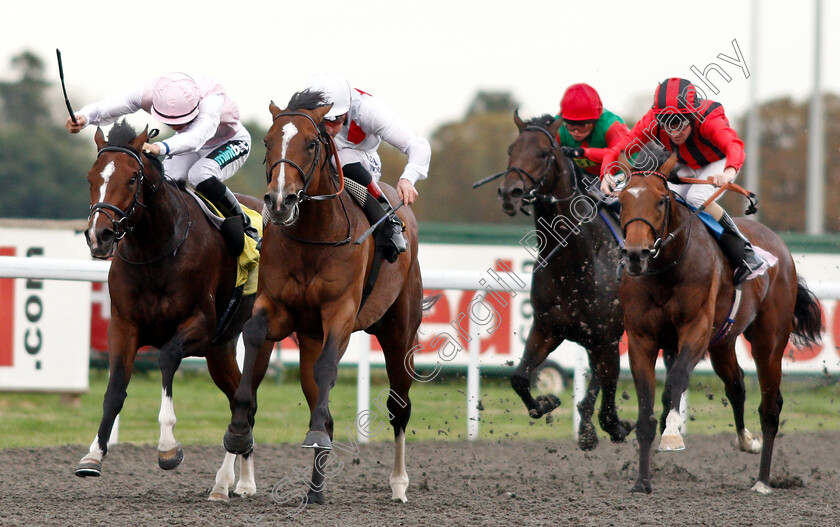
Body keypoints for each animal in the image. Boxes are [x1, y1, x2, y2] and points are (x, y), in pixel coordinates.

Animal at [79, 120, 262, 504]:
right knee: (242, 401)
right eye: (91, 176)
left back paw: (227, 482)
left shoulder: (200, 327)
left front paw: (167, 447)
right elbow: (115, 389)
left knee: (245, 400)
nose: (99, 235)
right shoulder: (124, 326)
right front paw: (93, 455)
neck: (155, 250)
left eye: (133, 178)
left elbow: (165, 358)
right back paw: (240, 481)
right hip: (221, 350)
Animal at [223, 91, 426, 508]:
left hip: (399, 331)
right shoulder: (277, 308)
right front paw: (238, 430)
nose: (279, 200)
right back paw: (315, 491)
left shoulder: (340, 313)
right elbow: (254, 335)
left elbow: (329, 366)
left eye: (311, 143)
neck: (314, 235)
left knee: (398, 407)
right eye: (267, 141)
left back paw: (399, 483)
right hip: (310, 338)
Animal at [492, 112, 632, 450]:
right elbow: (519, 377)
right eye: (511, 150)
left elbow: (607, 401)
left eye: (543, 153)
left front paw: (612, 427)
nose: (510, 193)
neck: (574, 261)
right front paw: (546, 402)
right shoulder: (547, 328)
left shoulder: (608, 338)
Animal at [616, 154, 820, 496]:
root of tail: (779, 245)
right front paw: (642, 482)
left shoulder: (696, 330)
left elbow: (676, 379)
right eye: (621, 201)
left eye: (660, 200)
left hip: (768, 342)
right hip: (723, 342)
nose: (635, 254)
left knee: (770, 408)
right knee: (736, 385)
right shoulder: (641, 340)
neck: (665, 270)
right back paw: (747, 441)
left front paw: (672, 433)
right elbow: (645, 412)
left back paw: (763, 480)